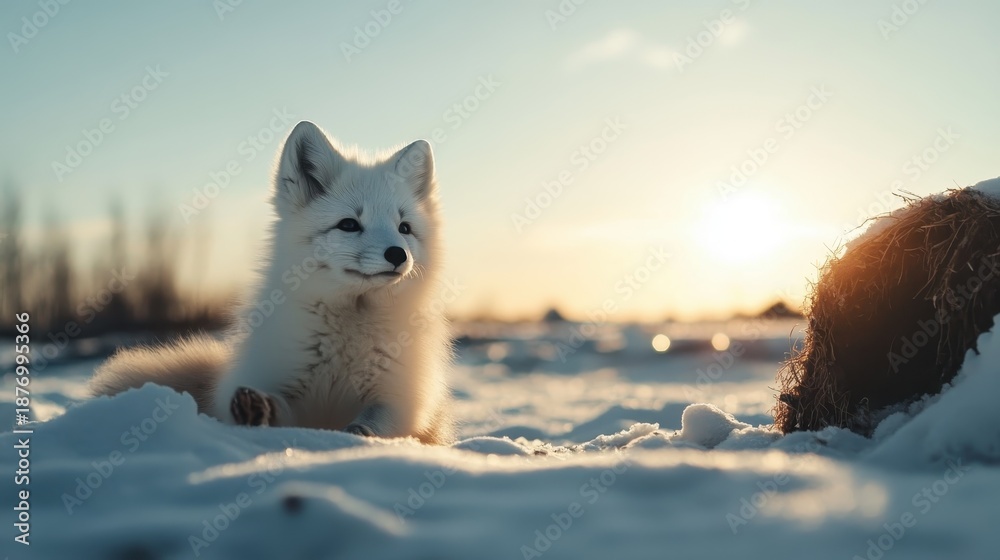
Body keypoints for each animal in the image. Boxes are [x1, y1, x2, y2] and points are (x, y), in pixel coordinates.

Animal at [90, 121, 455, 444]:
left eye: (404, 228)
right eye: (349, 224)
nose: (397, 254)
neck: (348, 334)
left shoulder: (401, 401)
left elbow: (373, 423)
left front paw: (358, 437)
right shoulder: (284, 386)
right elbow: (280, 411)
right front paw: (257, 411)